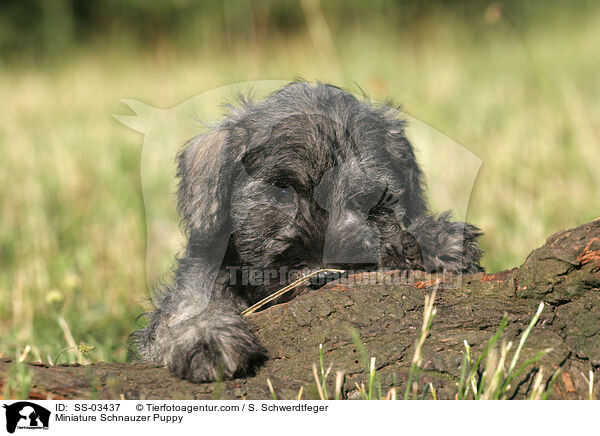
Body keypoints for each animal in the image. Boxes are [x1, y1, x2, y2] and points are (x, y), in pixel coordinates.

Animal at [134, 81, 486, 382]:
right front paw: (206, 336)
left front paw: (435, 241)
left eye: (369, 202)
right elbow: (188, 303)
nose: (322, 275)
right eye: (283, 192)